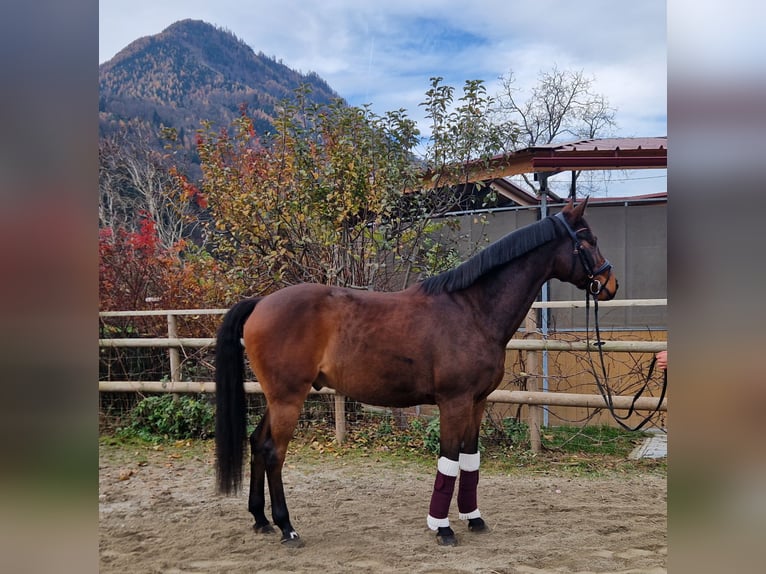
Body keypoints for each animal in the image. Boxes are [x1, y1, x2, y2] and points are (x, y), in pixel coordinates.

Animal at [214, 198, 618, 548]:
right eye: (589, 240)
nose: (610, 284)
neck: (472, 310)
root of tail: (261, 303)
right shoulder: (453, 402)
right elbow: (449, 461)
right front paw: (442, 527)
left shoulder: (477, 402)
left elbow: (469, 459)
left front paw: (473, 518)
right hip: (288, 398)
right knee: (273, 453)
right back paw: (287, 527)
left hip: (277, 397)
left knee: (257, 443)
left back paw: (261, 520)